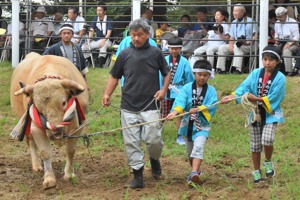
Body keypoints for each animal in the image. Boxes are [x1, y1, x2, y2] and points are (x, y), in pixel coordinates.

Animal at [10, 52, 89, 190]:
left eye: (63, 102)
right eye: (38, 106)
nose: (55, 132)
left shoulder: (78, 127)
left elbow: (70, 150)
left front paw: (69, 174)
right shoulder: (35, 128)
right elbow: (45, 152)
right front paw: (49, 179)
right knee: (31, 142)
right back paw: (37, 165)